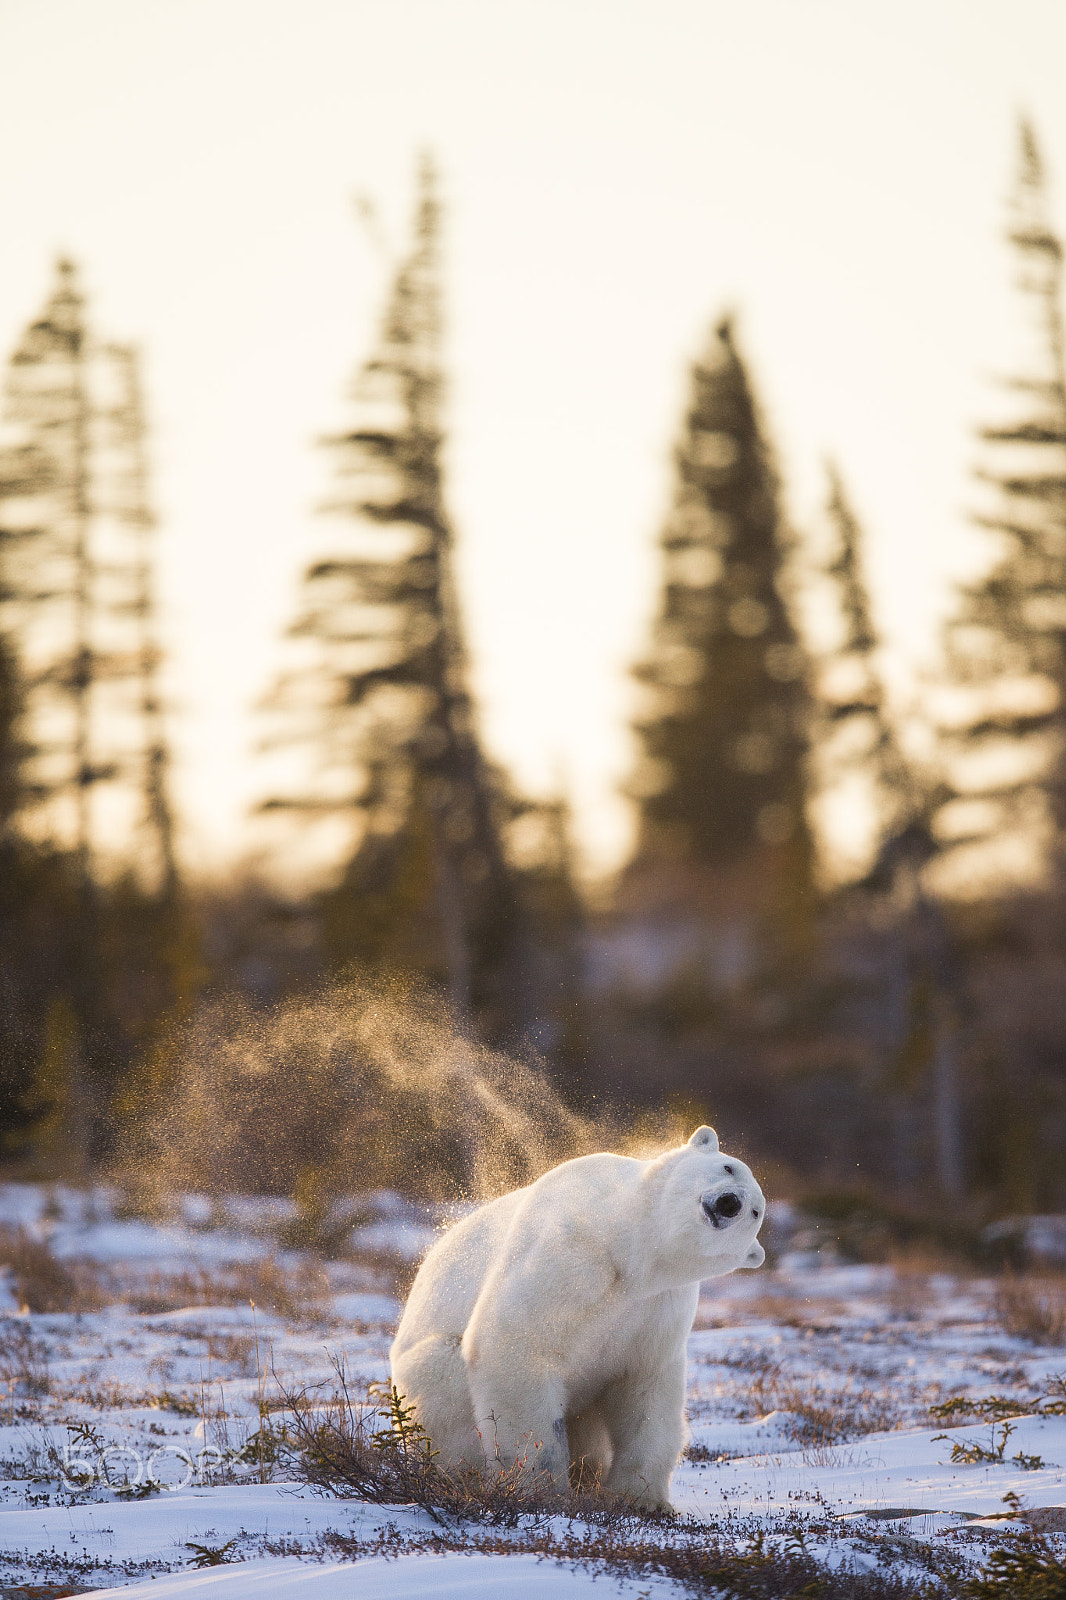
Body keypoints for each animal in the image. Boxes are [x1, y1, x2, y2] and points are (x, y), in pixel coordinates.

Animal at [390, 1126, 765, 1510]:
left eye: (755, 1212)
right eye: (728, 1167)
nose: (730, 1203)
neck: (632, 1247)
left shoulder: (658, 1304)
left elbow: (647, 1386)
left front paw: (643, 1499)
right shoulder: (570, 1246)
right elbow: (515, 1341)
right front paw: (542, 1489)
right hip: (431, 1373)